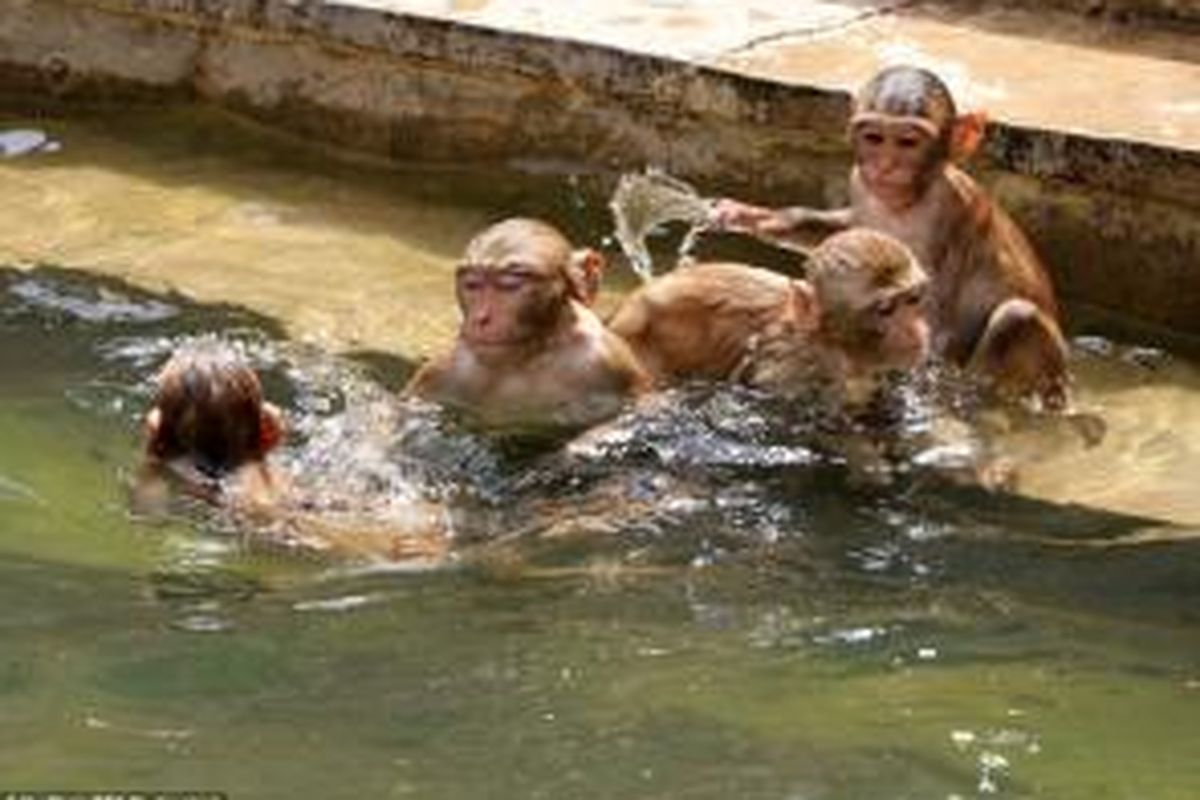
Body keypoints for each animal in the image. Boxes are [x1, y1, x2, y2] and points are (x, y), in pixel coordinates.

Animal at [403, 215, 652, 434]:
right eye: (472, 285)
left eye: (510, 285)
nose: (481, 318)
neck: (532, 354)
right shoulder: (441, 371)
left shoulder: (609, 362)